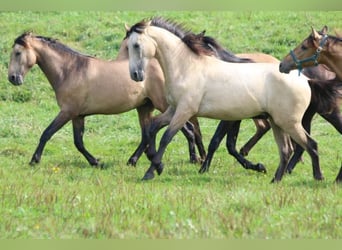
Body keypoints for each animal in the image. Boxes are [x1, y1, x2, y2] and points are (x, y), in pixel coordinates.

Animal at [7, 32, 206, 167]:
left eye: (17, 53)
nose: (12, 78)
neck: (70, 71)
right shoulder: (78, 115)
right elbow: (78, 142)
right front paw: (95, 162)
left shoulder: (67, 112)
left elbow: (46, 133)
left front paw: (34, 160)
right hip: (144, 107)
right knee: (147, 134)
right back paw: (133, 160)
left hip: (164, 105)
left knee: (187, 128)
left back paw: (194, 158)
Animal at [125, 17, 320, 182]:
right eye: (127, 46)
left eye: (136, 45)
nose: (135, 75)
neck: (186, 67)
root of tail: (305, 80)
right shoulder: (173, 109)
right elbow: (152, 127)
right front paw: (157, 165)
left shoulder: (185, 111)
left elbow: (167, 137)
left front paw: (150, 172)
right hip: (277, 121)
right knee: (287, 150)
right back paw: (276, 180)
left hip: (289, 122)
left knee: (310, 144)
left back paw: (318, 177)